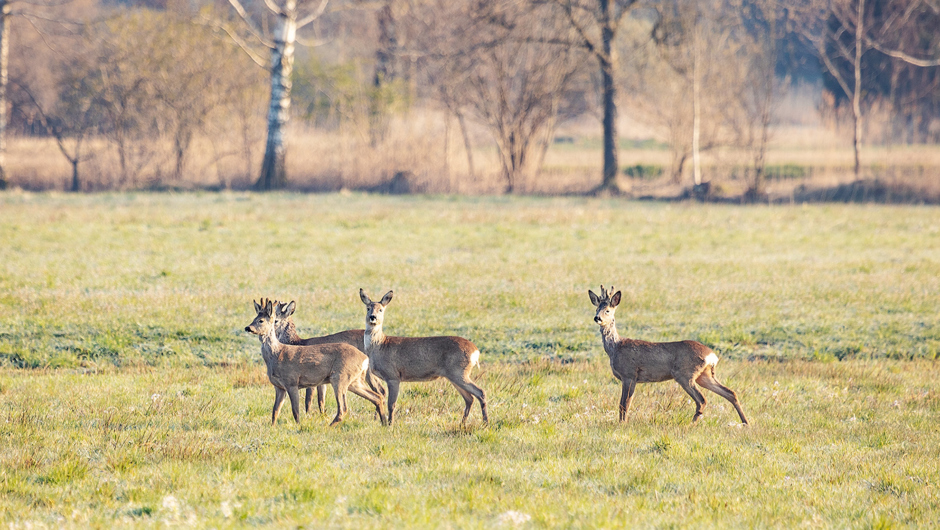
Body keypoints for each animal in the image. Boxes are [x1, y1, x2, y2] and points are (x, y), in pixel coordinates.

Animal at [246, 296, 390, 424]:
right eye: (254, 318)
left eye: (266, 320)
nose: (247, 328)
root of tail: (365, 358)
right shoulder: (284, 386)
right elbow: (277, 410)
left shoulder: (297, 382)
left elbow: (303, 405)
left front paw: (304, 421)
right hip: (354, 381)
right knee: (377, 395)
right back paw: (383, 422)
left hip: (344, 377)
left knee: (360, 400)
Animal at [360, 288, 492, 424]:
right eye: (368, 308)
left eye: (381, 309)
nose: (372, 317)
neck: (379, 345)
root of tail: (475, 351)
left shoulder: (393, 375)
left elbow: (391, 404)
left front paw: (390, 424)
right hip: (454, 375)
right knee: (469, 398)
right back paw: (463, 424)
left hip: (459, 372)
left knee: (480, 392)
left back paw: (485, 423)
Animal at [588, 282, 748, 422]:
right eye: (596, 309)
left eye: (607, 310)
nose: (597, 318)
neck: (616, 348)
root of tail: (712, 356)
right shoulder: (630, 378)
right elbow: (624, 404)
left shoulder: (629, 374)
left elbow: (624, 404)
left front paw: (622, 424)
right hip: (704, 375)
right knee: (730, 393)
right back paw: (745, 423)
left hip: (685, 374)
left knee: (702, 400)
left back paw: (692, 423)